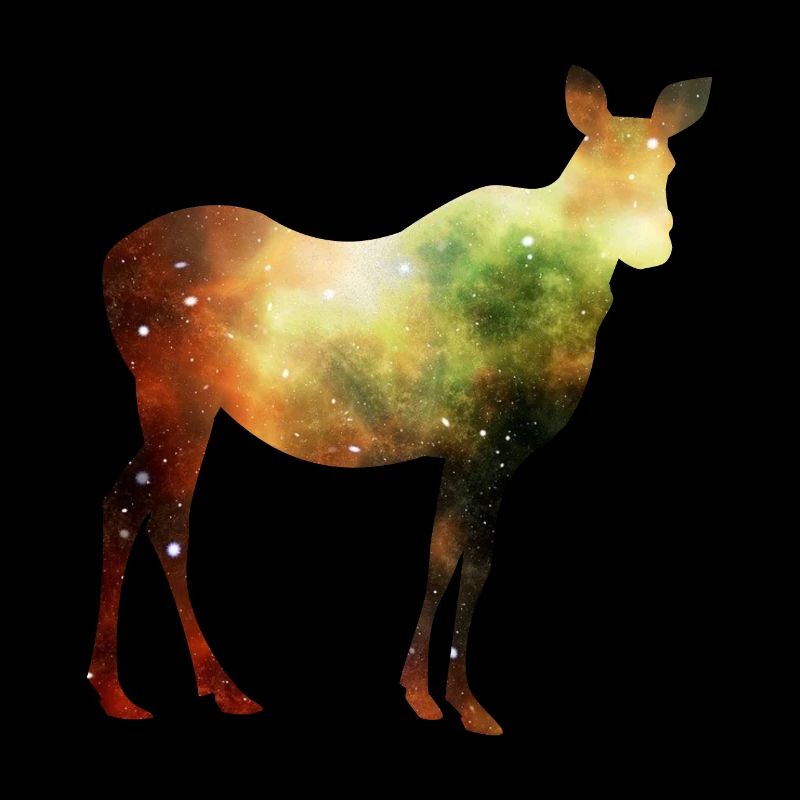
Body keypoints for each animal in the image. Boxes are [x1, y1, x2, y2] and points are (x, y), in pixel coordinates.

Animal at [90, 66, 710, 734]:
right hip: (180, 397)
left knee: (125, 501)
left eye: (669, 162)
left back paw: (116, 689)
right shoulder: (485, 443)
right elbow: (459, 561)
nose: (652, 244)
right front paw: (444, 698)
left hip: (175, 407)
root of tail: (109, 265)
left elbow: (458, 559)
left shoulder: (478, 451)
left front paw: (441, 696)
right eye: (596, 161)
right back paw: (219, 686)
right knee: (169, 517)